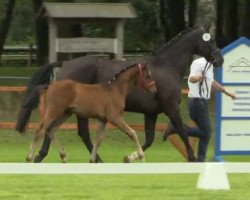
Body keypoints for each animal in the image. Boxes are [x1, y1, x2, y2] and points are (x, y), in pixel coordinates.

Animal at [26, 63, 156, 162]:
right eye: (147, 76)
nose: (154, 90)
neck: (116, 90)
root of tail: (48, 86)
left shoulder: (103, 119)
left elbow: (98, 139)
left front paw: (92, 160)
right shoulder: (115, 118)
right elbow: (132, 133)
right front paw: (141, 156)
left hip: (65, 114)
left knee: (51, 130)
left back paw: (63, 156)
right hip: (54, 112)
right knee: (39, 130)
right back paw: (29, 158)